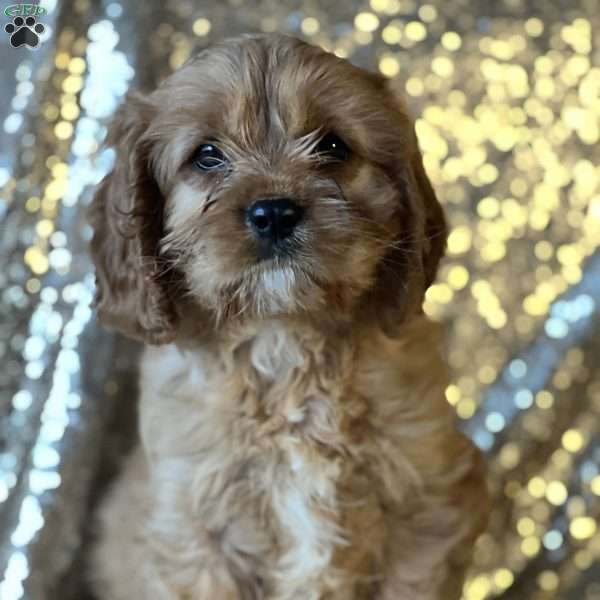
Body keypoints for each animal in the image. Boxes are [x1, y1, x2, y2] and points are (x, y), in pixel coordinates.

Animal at [90, 34, 492, 600]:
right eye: (207, 156)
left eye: (333, 146)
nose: (275, 212)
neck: (283, 340)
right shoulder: (194, 535)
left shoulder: (429, 508)